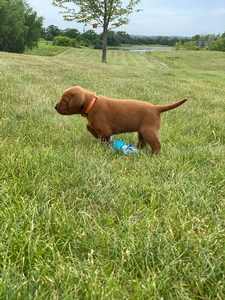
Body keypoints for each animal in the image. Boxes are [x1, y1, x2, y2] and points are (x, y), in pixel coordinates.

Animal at [55, 85, 187, 154]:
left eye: (64, 100)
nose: (55, 107)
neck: (92, 104)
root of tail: (156, 108)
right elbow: (89, 125)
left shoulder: (105, 131)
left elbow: (101, 137)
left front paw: (102, 148)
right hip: (142, 131)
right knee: (142, 143)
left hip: (148, 131)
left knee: (157, 145)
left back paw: (153, 156)